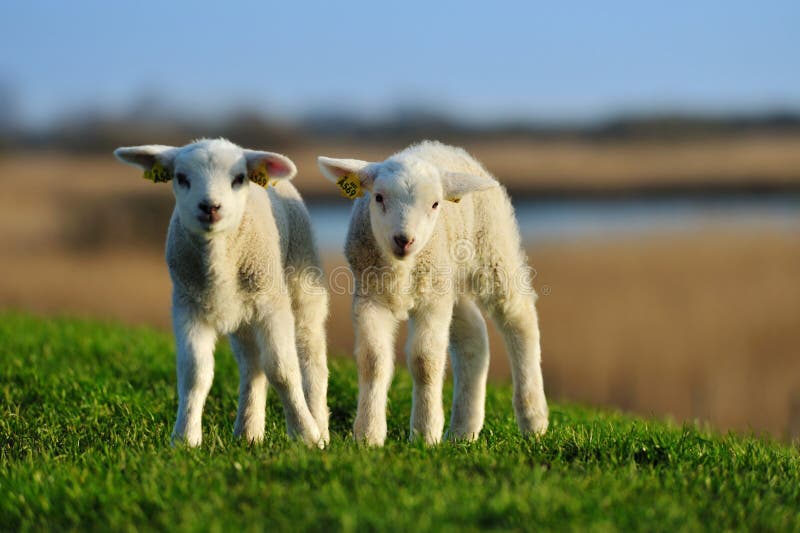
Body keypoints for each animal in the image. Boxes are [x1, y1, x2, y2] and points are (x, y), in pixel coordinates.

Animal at [114, 137, 326, 444]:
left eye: (239, 178)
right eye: (181, 177)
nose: (210, 207)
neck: (219, 262)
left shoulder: (272, 305)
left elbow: (283, 371)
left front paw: (305, 435)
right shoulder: (188, 307)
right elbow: (195, 375)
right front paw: (185, 439)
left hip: (302, 279)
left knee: (311, 353)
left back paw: (320, 425)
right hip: (243, 317)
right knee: (252, 365)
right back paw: (248, 434)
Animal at [318, 140, 552, 444]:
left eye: (435, 204)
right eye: (378, 197)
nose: (404, 240)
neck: (401, 269)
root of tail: (447, 147)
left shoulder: (431, 302)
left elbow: (425, 361)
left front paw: (424, 434)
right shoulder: (371, 297)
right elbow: (373, 359)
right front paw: (368, 435)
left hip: (491, 249)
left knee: (519, 318)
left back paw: (533, 419)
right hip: (448, 279)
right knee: (474, 334)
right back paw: (464, 430)